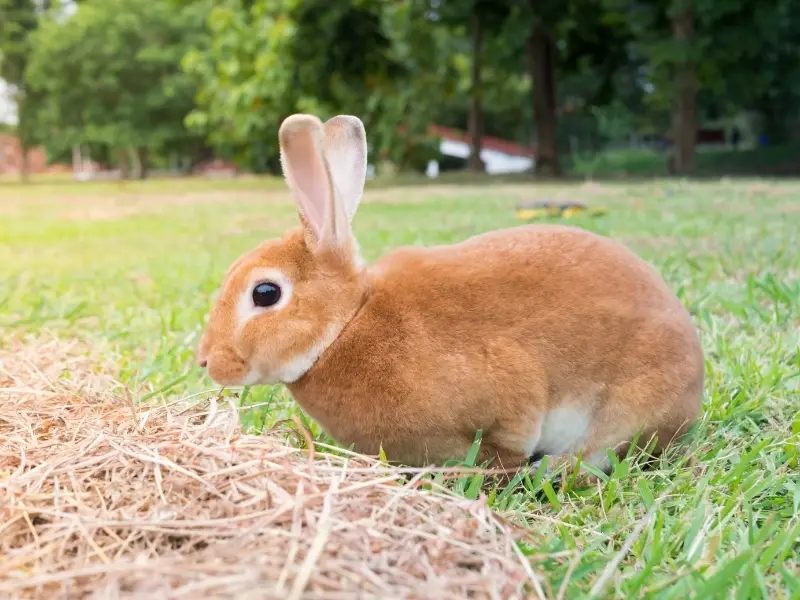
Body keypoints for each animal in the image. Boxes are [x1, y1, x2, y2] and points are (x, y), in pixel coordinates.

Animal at [197, 113, 704, 474]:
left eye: (265, 293)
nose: (206, 361)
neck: (348, 324)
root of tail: (694, 383)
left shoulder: (508, 396)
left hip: (631, 404)